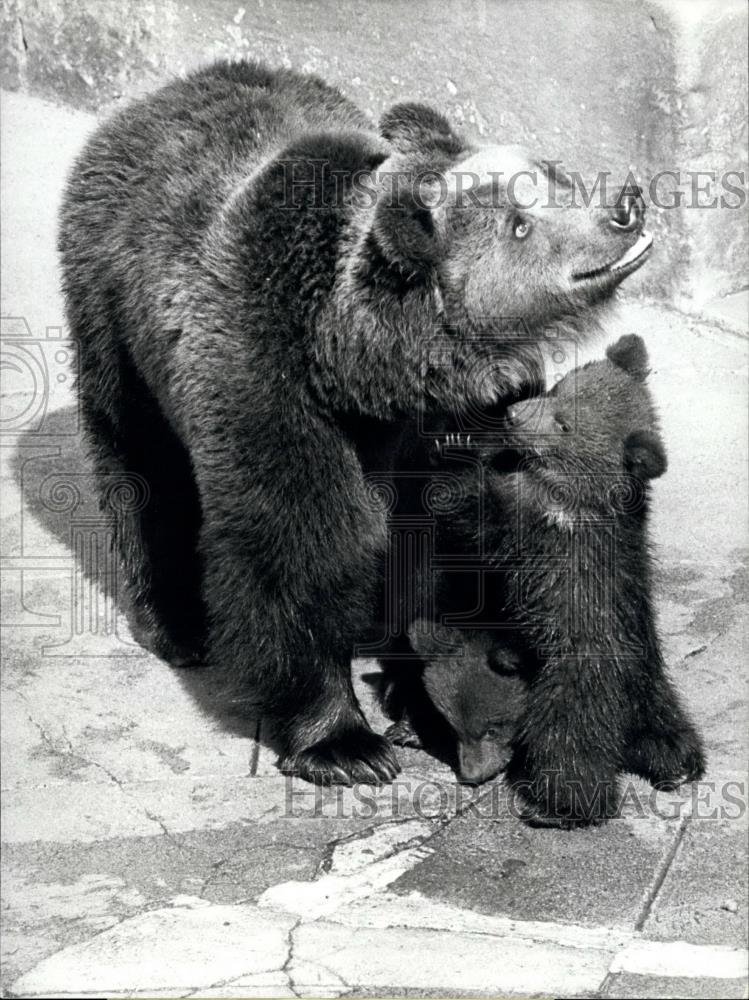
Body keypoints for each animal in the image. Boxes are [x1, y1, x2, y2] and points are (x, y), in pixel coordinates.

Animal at [58, 58, 652, 784]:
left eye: (552, 172)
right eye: (518, 224)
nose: (623, 205)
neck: (362, 369)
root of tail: (158, 95)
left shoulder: (460, 421)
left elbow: (444, 537)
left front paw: (413, 678)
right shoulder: (269, 385)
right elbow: (297, 544)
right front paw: (343, 742)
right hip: (112, 314)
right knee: (141, 462)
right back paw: (176, 622)